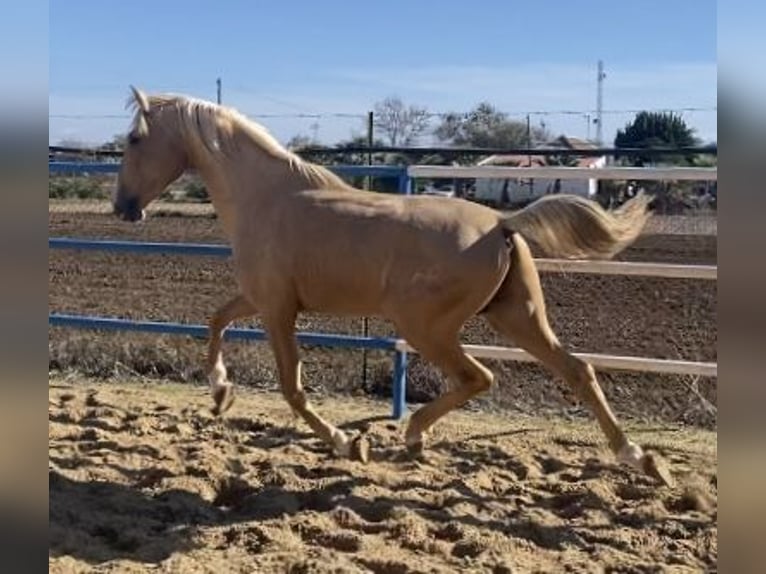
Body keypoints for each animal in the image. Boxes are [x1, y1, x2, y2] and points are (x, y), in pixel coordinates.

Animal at [112, 88, 672, 488]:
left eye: (135, 139)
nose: (123, 207)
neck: (267, 197)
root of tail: (502, 224)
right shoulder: (259, 299)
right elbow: (215, 322)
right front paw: (220, 394)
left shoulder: (277, 309)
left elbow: (292, 387)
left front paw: (348, 443)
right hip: (516, 315)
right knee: (577, 370)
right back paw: (642, 460)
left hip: (427, 327)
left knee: (480, 377)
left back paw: (412, 434)